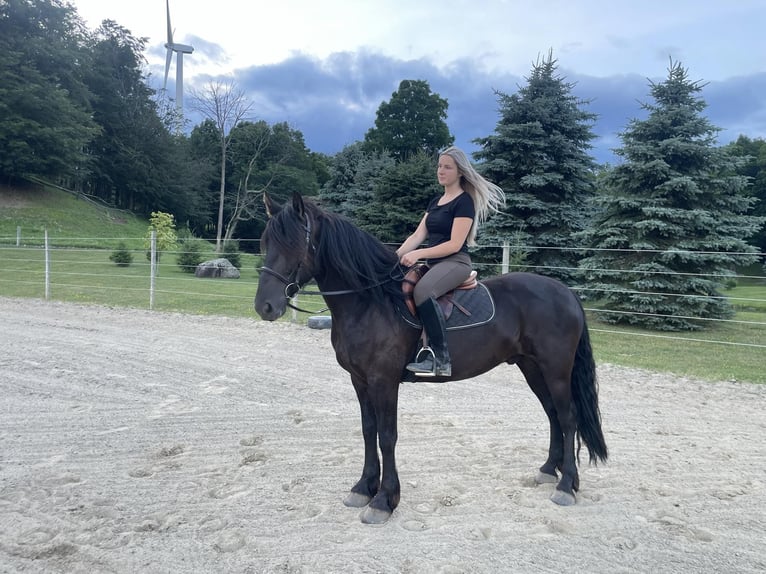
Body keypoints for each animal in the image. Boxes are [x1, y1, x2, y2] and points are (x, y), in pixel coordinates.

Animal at [254, 192, 608, 524]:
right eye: (265, 242)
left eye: (294, 244)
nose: (265, 307)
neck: (371, 301)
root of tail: (564, 291)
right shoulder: (359, 379)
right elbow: (368, 431)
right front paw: (362, 488)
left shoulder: (384, 381)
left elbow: (387, 436)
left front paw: (383, 501)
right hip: (532, 367)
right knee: (552, 415)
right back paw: (549, 470)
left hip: (556, 370)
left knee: (568, 417)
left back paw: (566, 486)